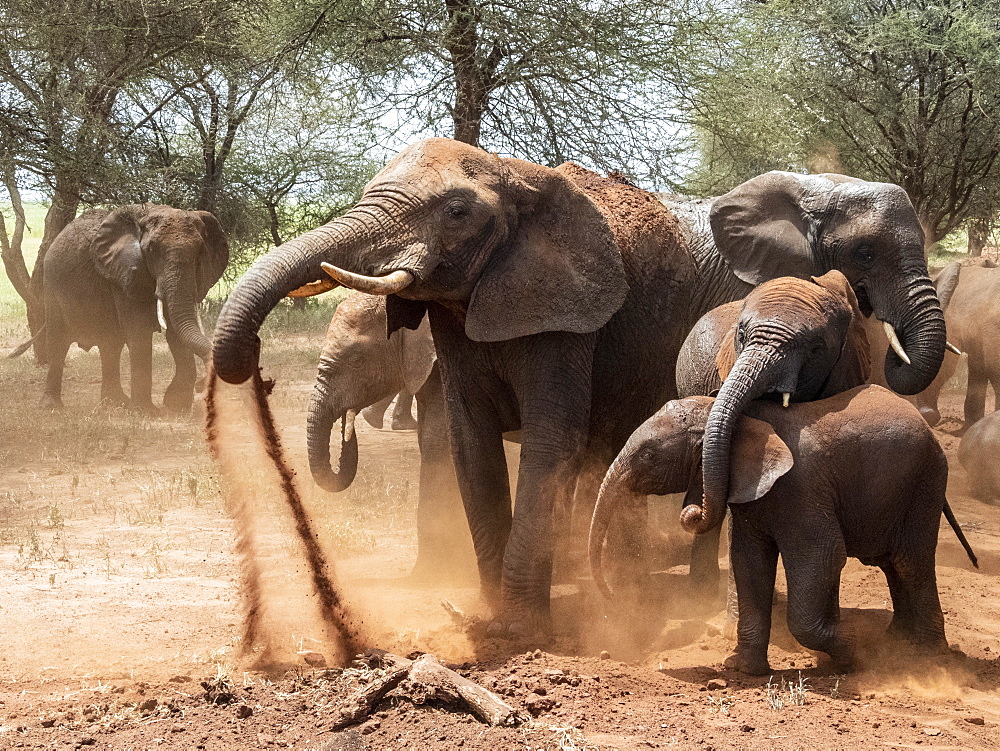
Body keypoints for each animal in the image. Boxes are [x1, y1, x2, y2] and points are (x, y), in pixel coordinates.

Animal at [40, 204, 228, 412]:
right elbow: (139, 331)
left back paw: (115, 402)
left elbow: (175, 332)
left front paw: (175, 407)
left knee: (110, 344)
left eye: (200, 251)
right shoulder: (124, 273)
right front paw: (148, 412)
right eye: (152, 249)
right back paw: (52, 406)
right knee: (58, 342)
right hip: (51, 286)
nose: (202, 384)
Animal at [592, 388, 976, 676]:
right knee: (890, 563)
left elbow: (822, 557)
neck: (736, 423)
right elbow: (749, 565)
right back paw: (898, 643)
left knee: (911, 563)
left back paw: (927, 657)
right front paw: (742, 668)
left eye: (648, 455)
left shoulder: (802, 489)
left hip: (925, 483)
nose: (614, 600)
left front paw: (854, 655)